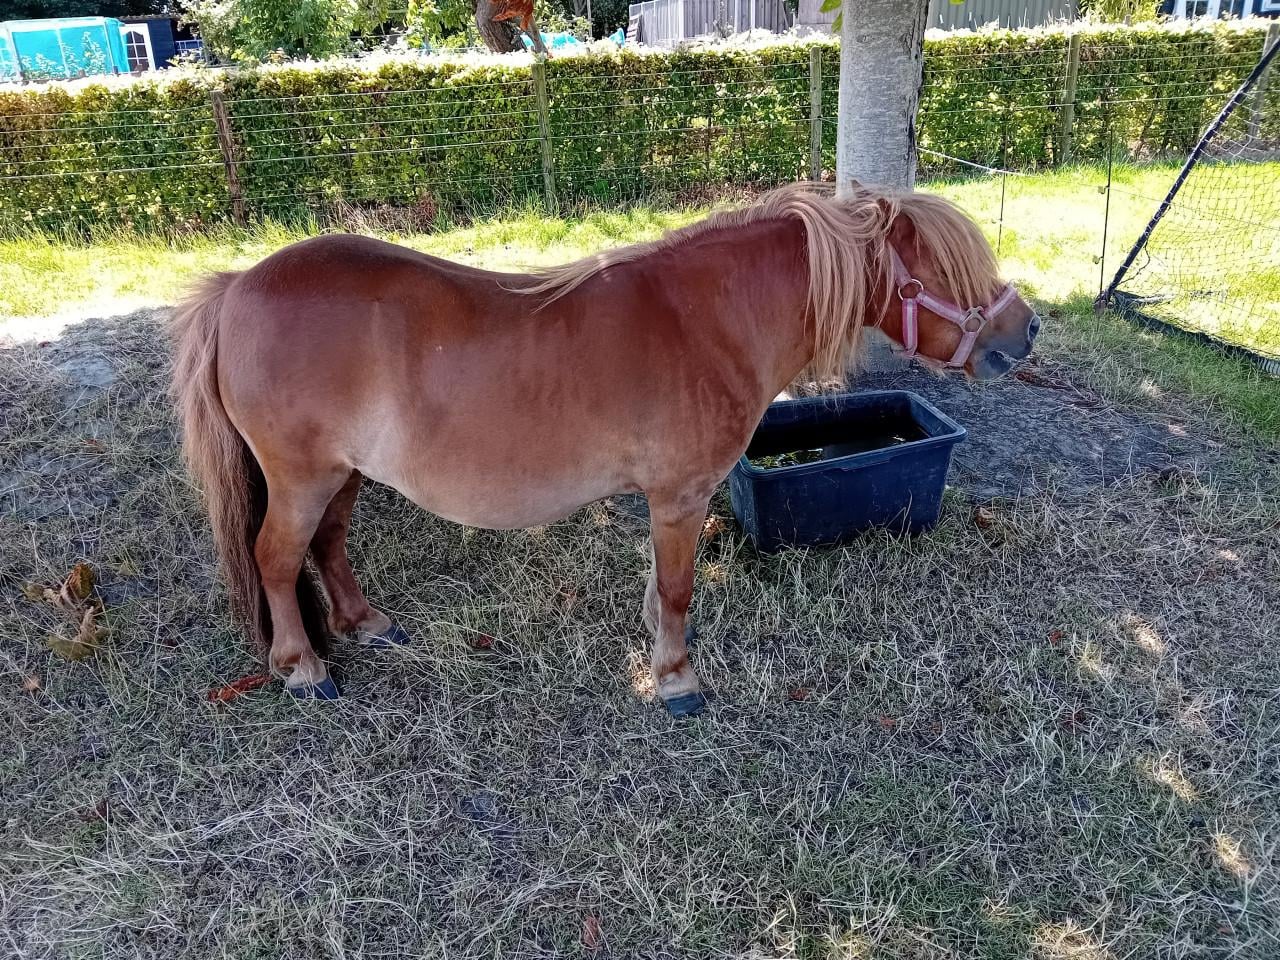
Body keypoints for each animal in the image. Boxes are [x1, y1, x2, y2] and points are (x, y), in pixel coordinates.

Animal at [170, 182, 1040, 717]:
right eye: (948, 269)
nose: (1024, 330)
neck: (706, 318)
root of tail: (238, 288)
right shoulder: (682, 496)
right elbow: (682, 589)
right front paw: (676, 679)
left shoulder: (668, 501)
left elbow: (661, 584)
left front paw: (657, 647)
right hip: (302, 477)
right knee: (277, 558)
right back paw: (302, 668)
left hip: (342, 476)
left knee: (329, 544)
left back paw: (364, 623)